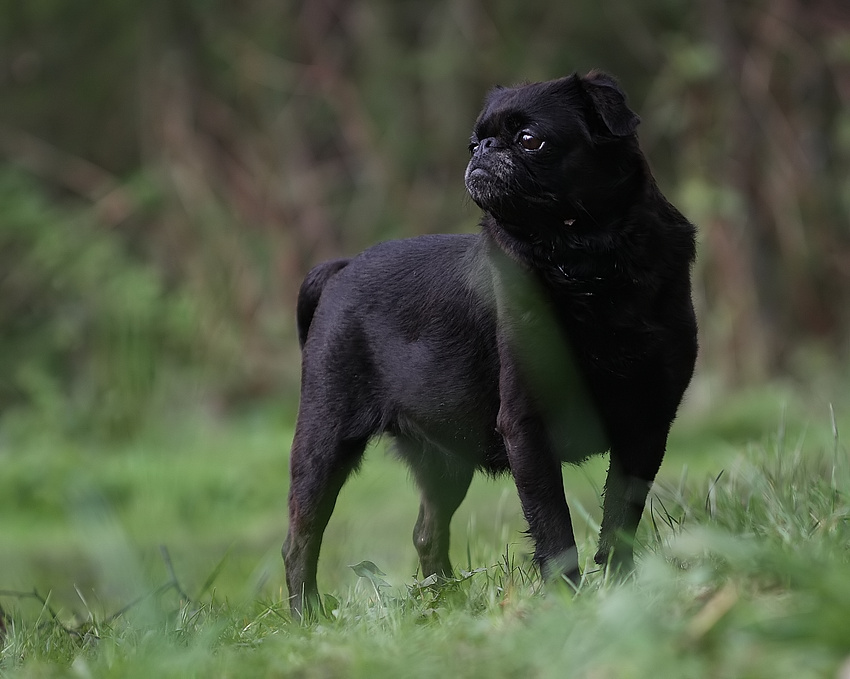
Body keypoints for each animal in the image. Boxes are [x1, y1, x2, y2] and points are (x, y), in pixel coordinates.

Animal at [284, 73, 696, 616]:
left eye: (529, 140)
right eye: (475, 141)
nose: (483, 148)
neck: (586, 264)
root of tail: (342, 268)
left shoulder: (646, 425)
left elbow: (620, 520)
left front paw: (620, 590)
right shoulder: (527, 430)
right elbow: (553, 527)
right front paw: (567, 603)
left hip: (445, 461)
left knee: (426, 532)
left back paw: (445, 604)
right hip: (325, 441)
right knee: (301, 537)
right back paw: (307, 616)